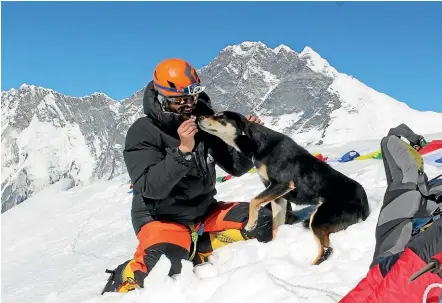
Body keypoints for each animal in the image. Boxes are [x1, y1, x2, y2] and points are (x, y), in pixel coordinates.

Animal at [197, 111, 370, 266]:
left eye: (220, 116)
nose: (198, 117)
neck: (259, 145)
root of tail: (364, 201)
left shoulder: (282, 184)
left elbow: (254, 201)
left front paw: (251, 223)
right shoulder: (278, 196)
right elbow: (276, 225)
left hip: (320, 219)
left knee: (327, 250)